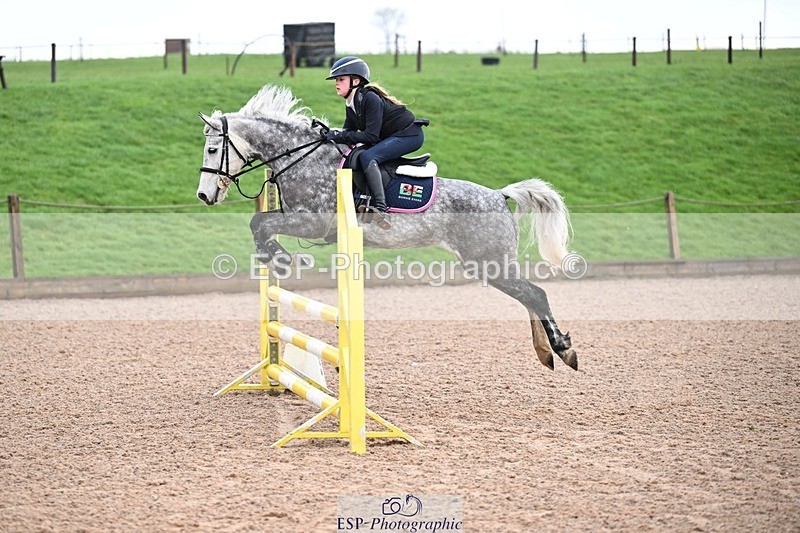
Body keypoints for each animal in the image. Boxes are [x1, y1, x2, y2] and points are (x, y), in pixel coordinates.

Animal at [196, 84, 578, 371]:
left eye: (213, 149)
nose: (204, 195)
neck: (301, 157)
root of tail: (499, 196)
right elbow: (259, 224)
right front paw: (275, 257)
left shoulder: (312, 222)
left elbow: (260, 222)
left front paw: (283, 258)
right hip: (491, 263)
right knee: (528, 296)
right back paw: (545, 352)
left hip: (488, 261)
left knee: (535, 294)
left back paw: (562, 348)